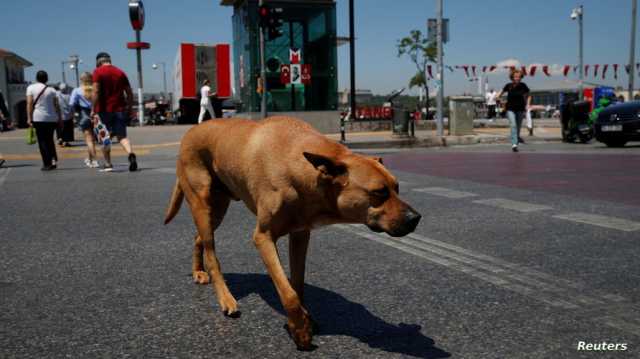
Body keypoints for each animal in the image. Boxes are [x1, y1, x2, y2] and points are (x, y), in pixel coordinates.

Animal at [166, 118, 420, 352]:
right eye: (379, 192)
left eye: (397, 188)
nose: (415, 218)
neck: (298, 168)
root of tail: (191, 131)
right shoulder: (263, 238)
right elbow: (287, 292)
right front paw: (300, 331)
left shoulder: (300, 235)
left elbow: (297, 283)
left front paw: (303, 319)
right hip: (201, 203)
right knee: (212, 253)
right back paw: (225, 298)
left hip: (217, 209)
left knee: (197, 238)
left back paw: (198, 271)